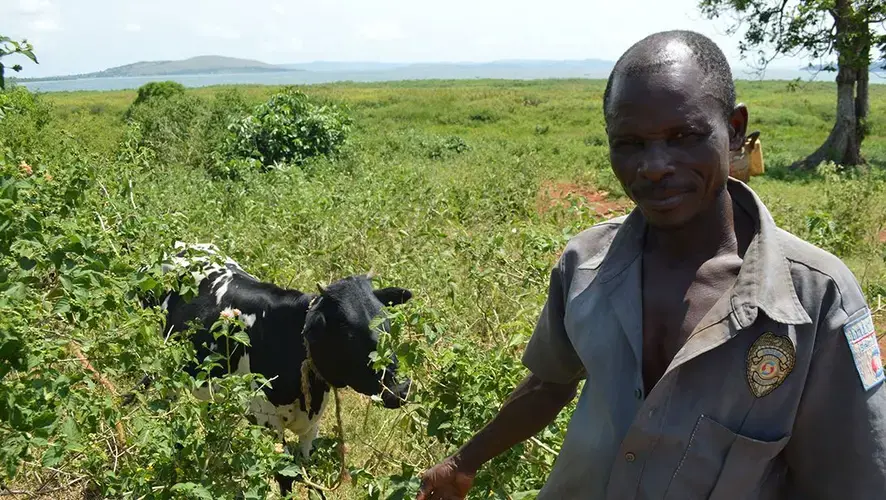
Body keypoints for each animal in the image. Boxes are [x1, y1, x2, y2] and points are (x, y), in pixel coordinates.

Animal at [131, 243, 412, 496]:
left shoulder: (312, 424)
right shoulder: (265, 418)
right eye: (348, 333)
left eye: (386, 323)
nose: (399, 389)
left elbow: (307, 468)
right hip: (168, 370)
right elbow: (286, 475)